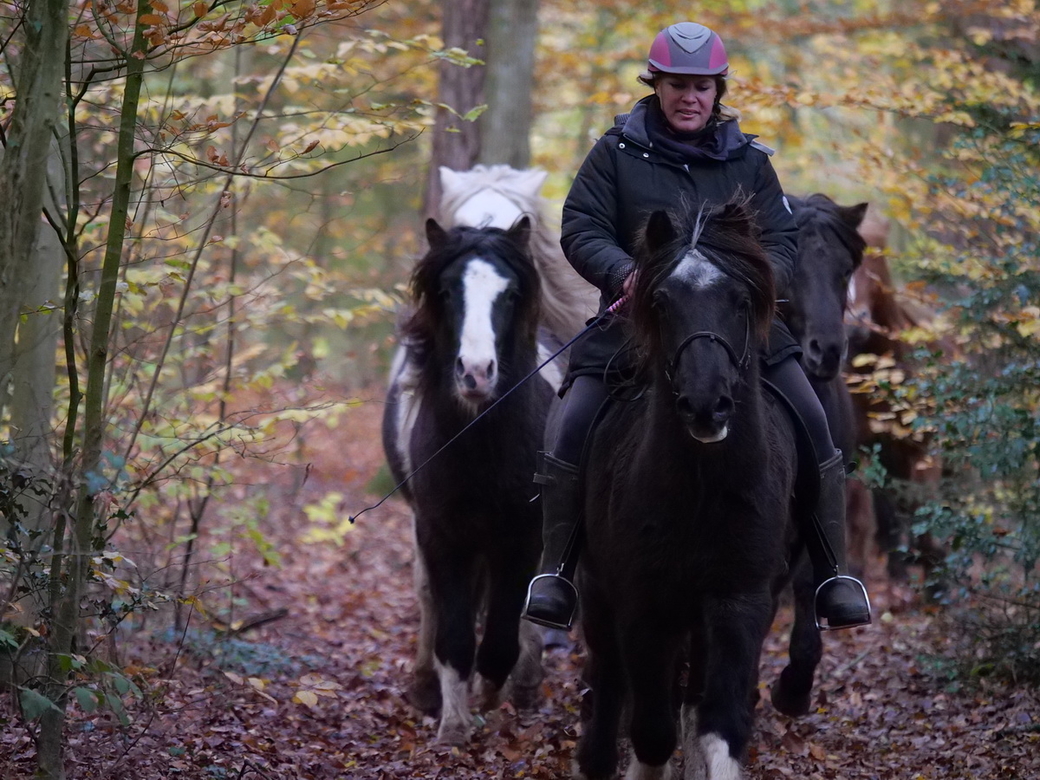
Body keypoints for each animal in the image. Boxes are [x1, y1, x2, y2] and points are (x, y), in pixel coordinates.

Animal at [382, 218, 557, 744]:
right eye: (445, 291)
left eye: (511, 293)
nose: (476, 373)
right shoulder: (443, 535)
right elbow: (455, 635)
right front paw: (453, 727)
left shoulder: (522, 537)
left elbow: (500, 636)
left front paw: (491, 696)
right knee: (429, 599)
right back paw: (426, 687)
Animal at [578, 202, 794, 780]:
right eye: (660, 301)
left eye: (741, 300)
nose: (706, 405)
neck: (703, 491)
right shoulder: (642, 608)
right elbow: (653, 732)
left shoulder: (739, 603)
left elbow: (719, 727)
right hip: (598, 597)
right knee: (609, 682)